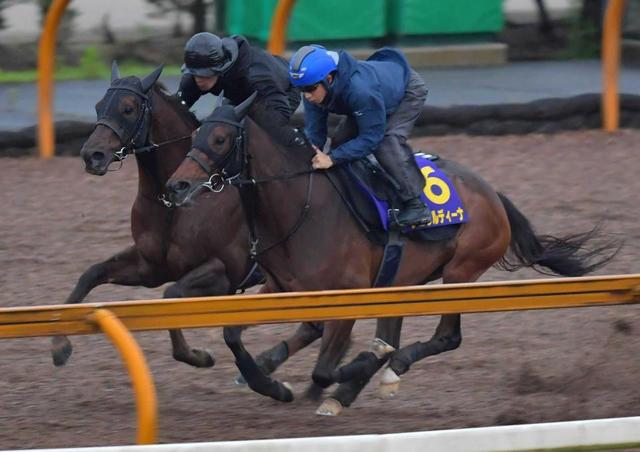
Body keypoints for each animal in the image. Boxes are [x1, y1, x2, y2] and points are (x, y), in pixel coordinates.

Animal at [51, 65, 337, 392]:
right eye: (99, 106)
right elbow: (91, 274)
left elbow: (171, 294)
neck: (176, 202)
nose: (91, 155)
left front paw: (198, 356)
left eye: (128, 109)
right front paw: (59, 345)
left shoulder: (224, 272)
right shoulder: (150, 266)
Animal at [164, 94, 619, 416]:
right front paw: (273, 385)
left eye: (220, 139)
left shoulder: (345, 296)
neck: (301, 208)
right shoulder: (281, 289)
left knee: (446, 337)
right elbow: (232, 335)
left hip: (461, 272)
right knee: (401, 331)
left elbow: (325, 366)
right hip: (402, 279)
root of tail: (494, 195)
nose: (176, 186)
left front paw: (356, 369)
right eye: (195, 135)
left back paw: (379, 373)